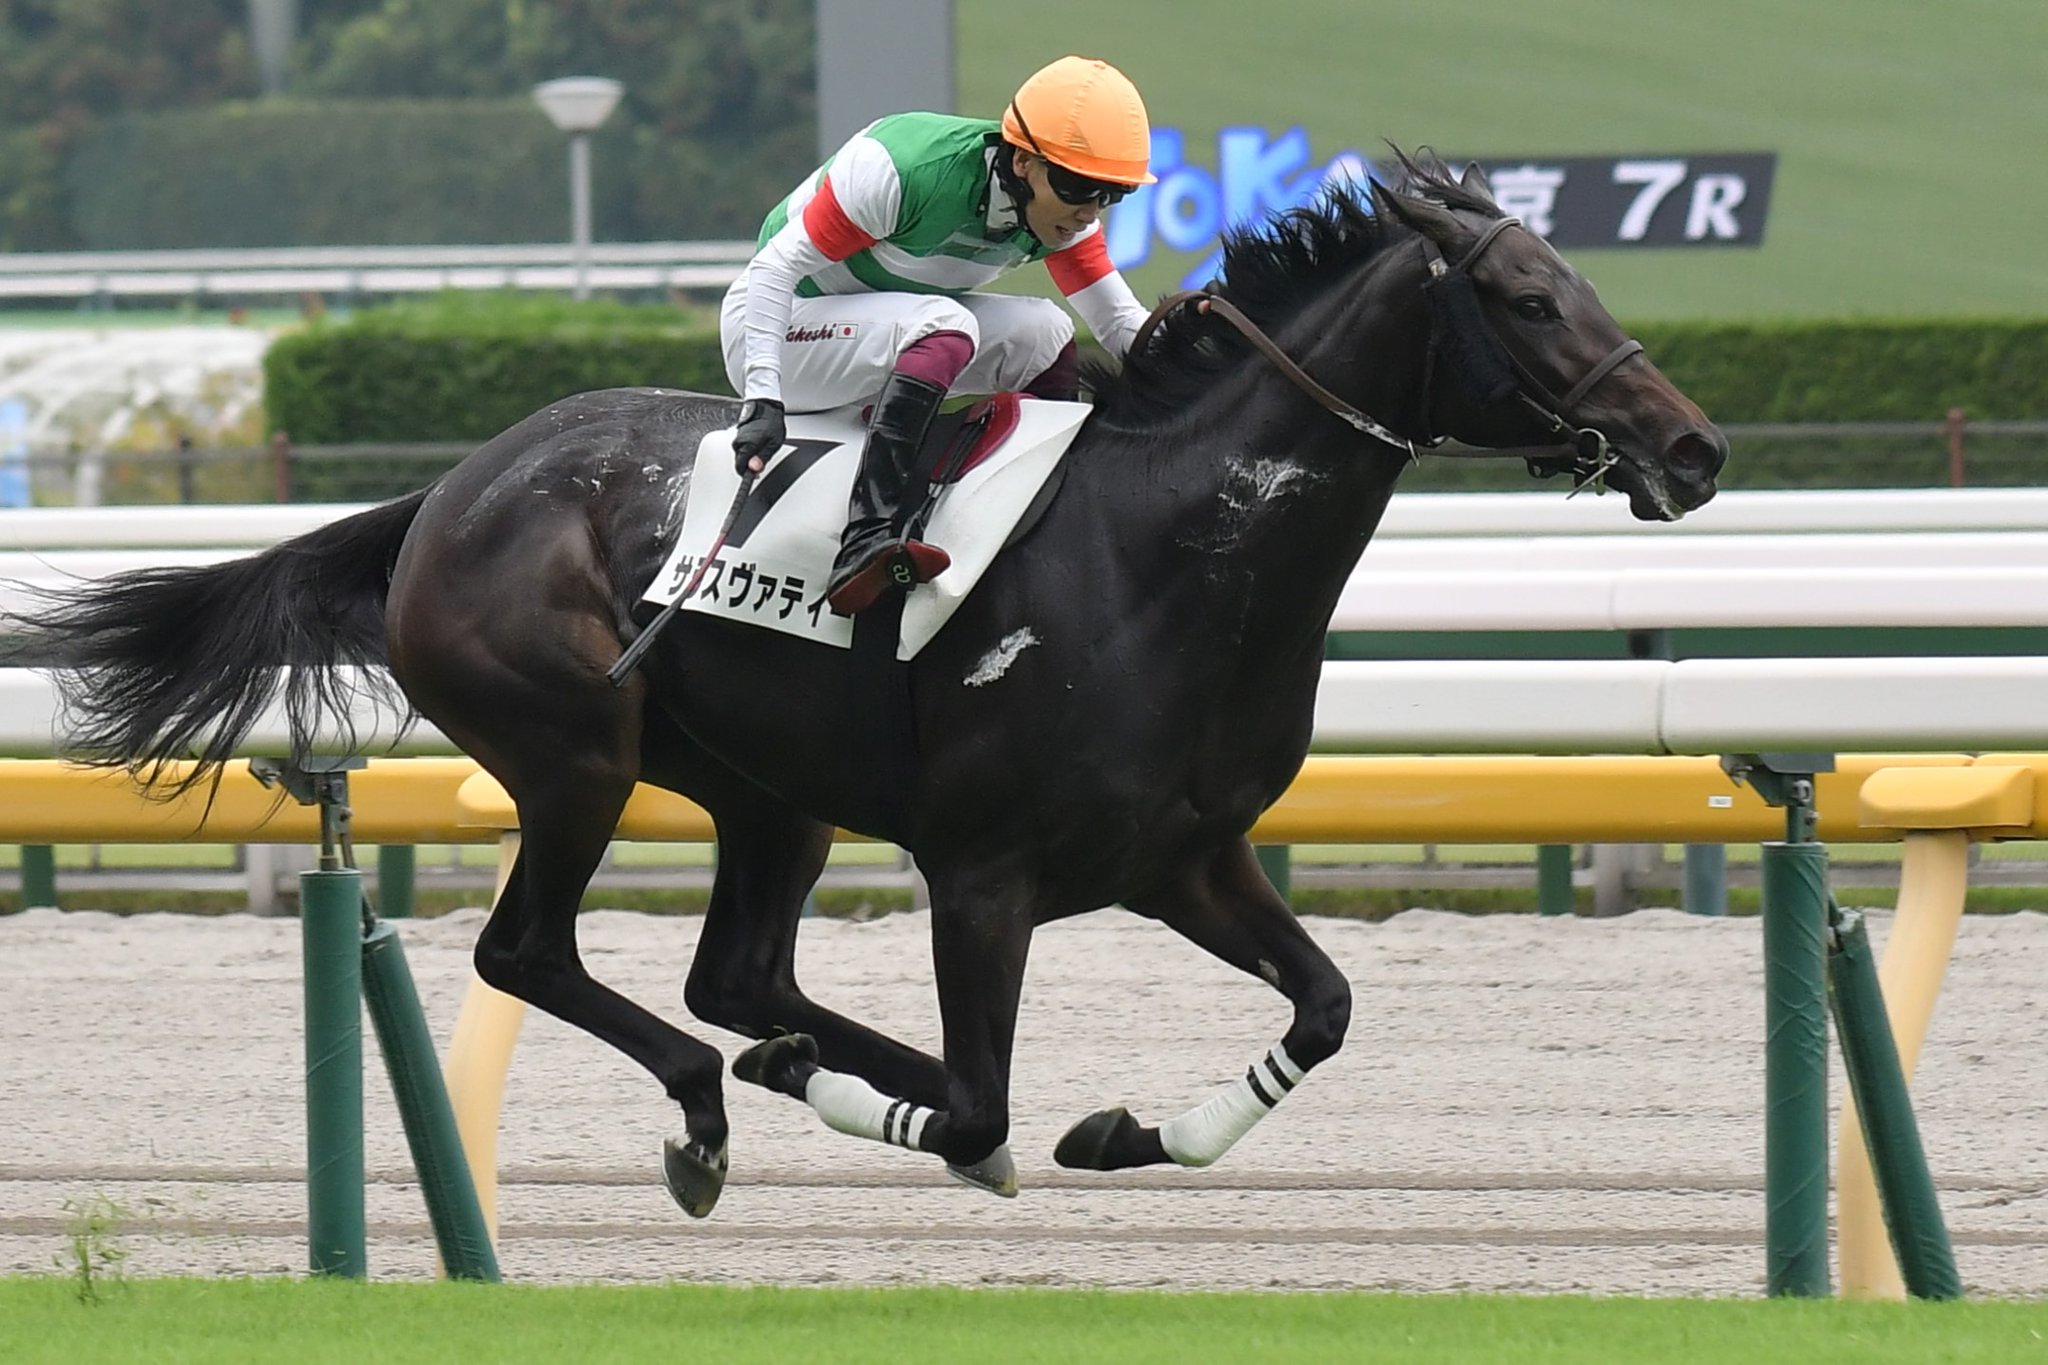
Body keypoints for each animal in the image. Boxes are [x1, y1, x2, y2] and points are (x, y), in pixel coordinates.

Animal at [17, 152, 1725, 1218]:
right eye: (1528, 302)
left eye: (1576, 282)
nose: (1694, 446)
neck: (1164, 546)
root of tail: (448, 492)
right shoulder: (985, 872)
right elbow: (979, 1099)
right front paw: (964, 1122)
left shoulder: (1183, 852)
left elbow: (1324, 1005)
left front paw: (1129, 1128)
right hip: (576, 754)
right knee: (537, 955)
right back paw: (717, 1104)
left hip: (770, 796)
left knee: (740, 978)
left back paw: (791, 1063)